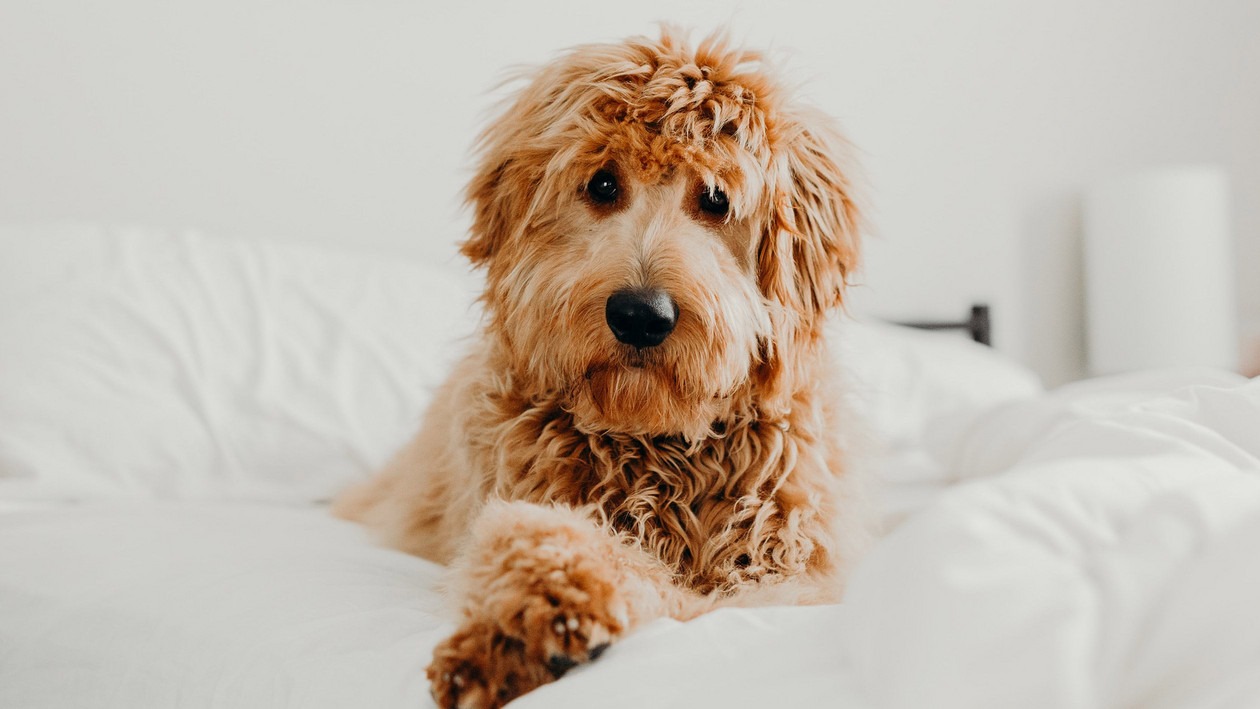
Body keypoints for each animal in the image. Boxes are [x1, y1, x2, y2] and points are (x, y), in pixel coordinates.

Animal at [330, 26, 871, 709]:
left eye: (716, 199)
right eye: (603, 186)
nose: (641, 316)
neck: (656, 449)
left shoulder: (787, 577)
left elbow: (671, 589)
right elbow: (545, 537)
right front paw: (532, 613)